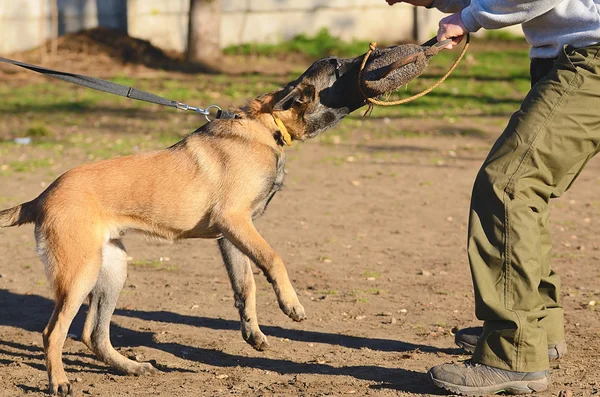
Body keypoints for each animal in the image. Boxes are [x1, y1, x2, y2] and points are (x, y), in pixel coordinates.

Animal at [0, 44, 412, 394]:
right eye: (338, 67)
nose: (372, 55)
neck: (266, 127)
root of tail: (41, 196)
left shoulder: (230, 235)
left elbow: (246, 285)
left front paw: (252, 333)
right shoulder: (236, 222)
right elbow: (273, 259)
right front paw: (291, 304)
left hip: (112, 268)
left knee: (93, 334)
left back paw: (129, 367)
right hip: (79, 273)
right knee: (53, 332)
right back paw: (59, 381)